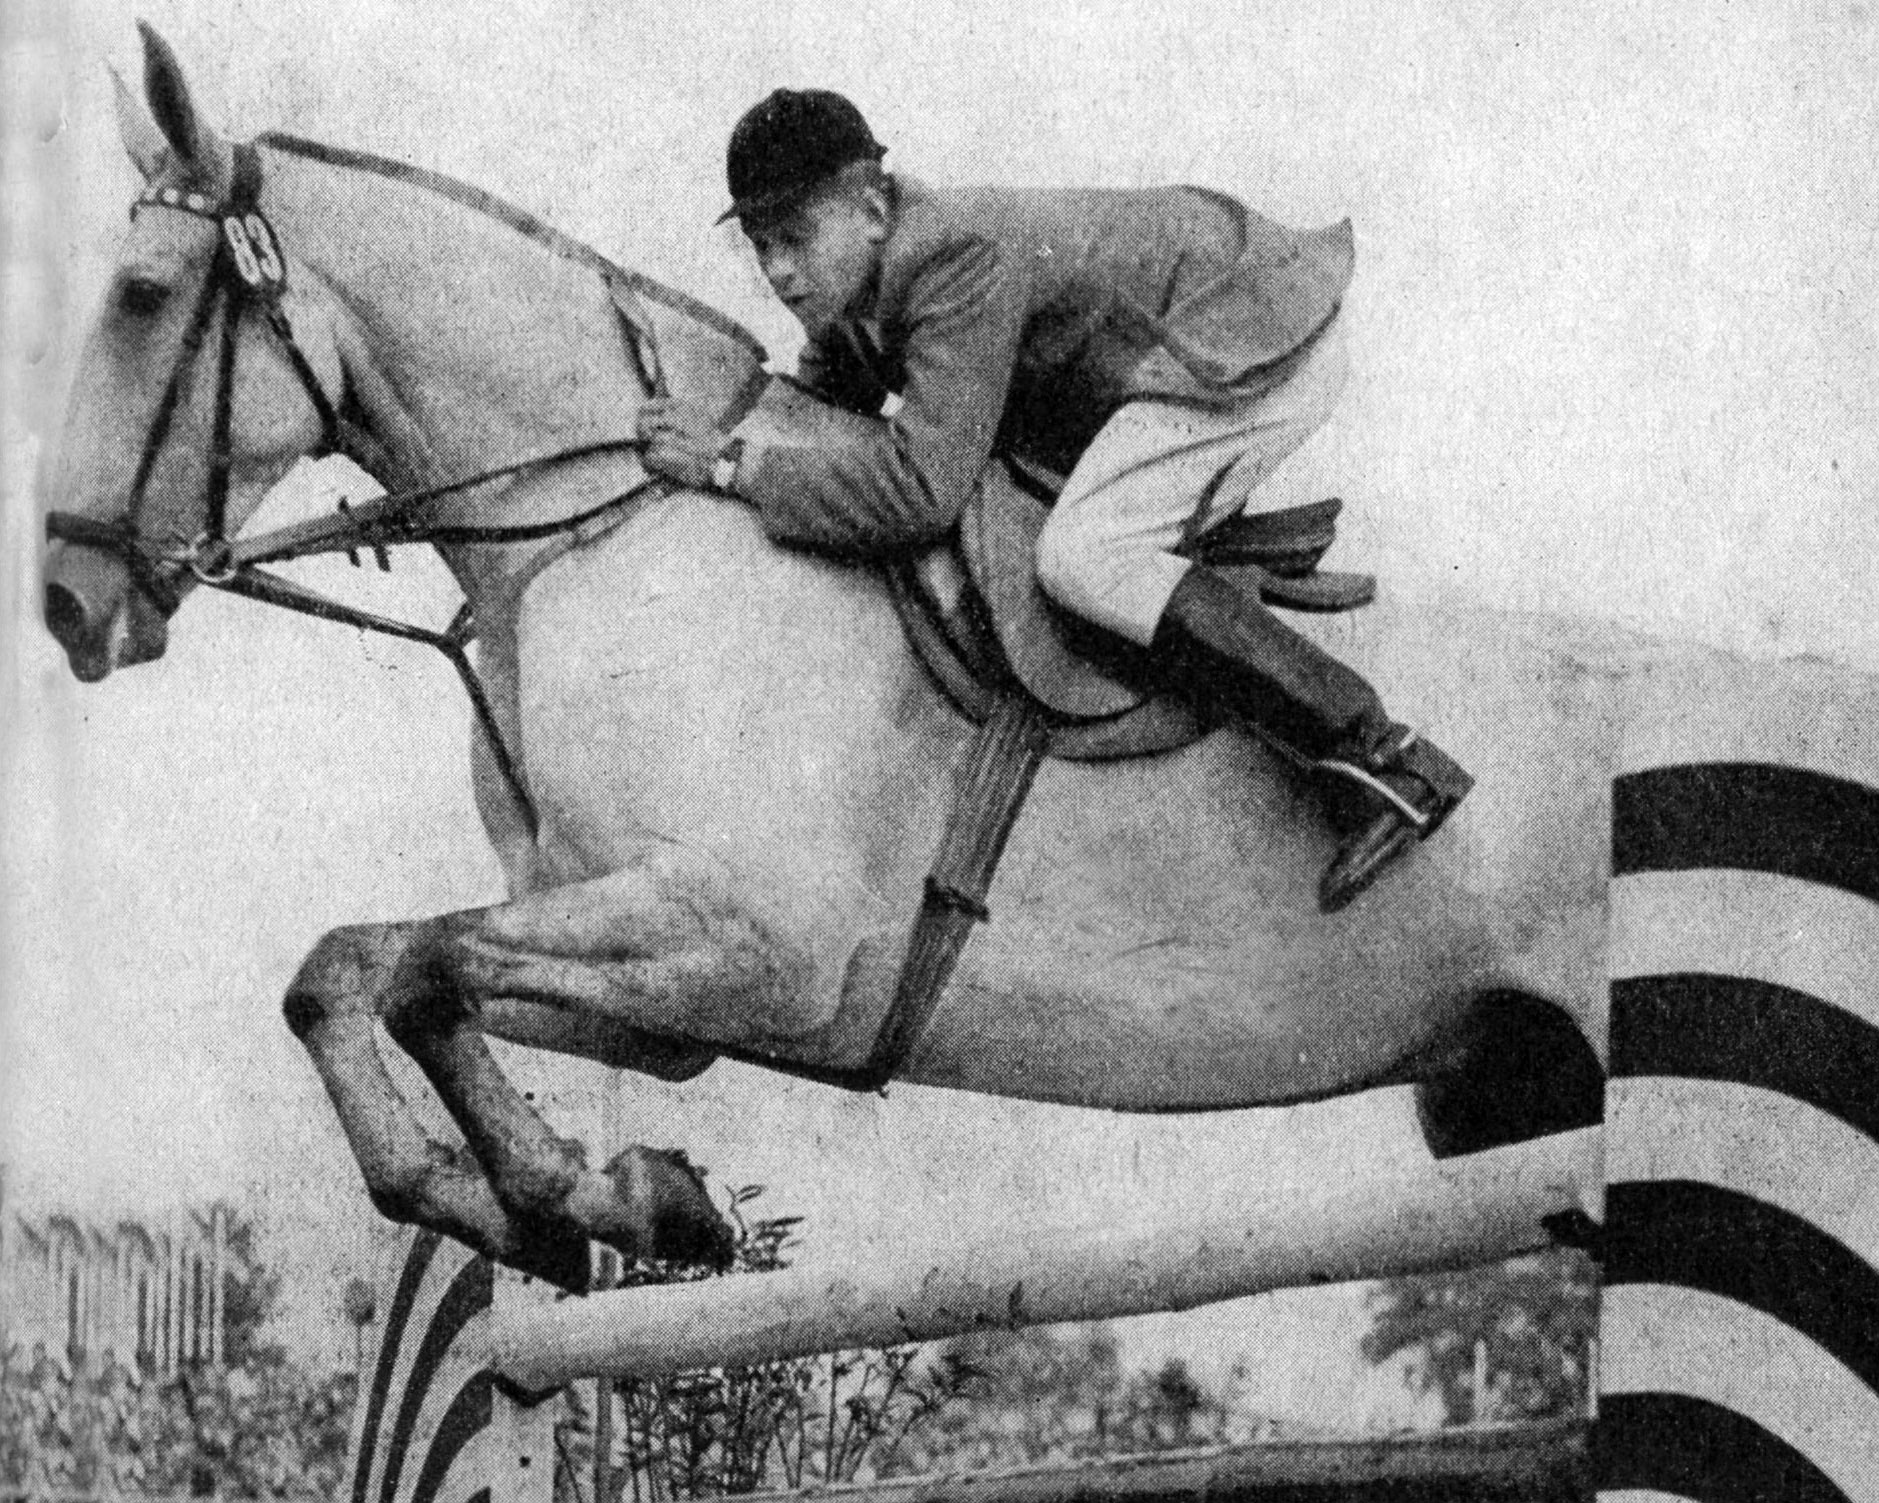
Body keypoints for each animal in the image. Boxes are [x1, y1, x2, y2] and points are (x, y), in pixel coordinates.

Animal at [44, 26, 1600, 1292]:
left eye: (139, 296)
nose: (65, 602)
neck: (604, 528)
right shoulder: (656, 984)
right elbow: (347, 974)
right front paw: (569, 1203)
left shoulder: (753, 945)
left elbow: (419, 969)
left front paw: (607, 1199)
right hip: (1501, 1083)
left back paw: (1391, 778)